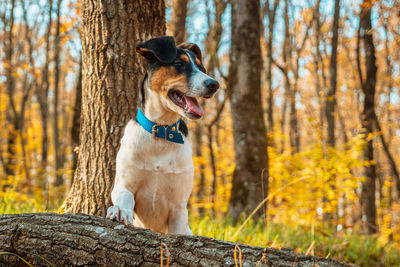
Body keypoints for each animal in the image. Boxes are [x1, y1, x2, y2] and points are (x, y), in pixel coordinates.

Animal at [106, 36, 219, 236]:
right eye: (179, 64)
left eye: (202, 69)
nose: (214, 84)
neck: (162, 132)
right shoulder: (124, 183)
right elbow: (123, 197)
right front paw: (119, 210)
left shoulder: (179, 206)